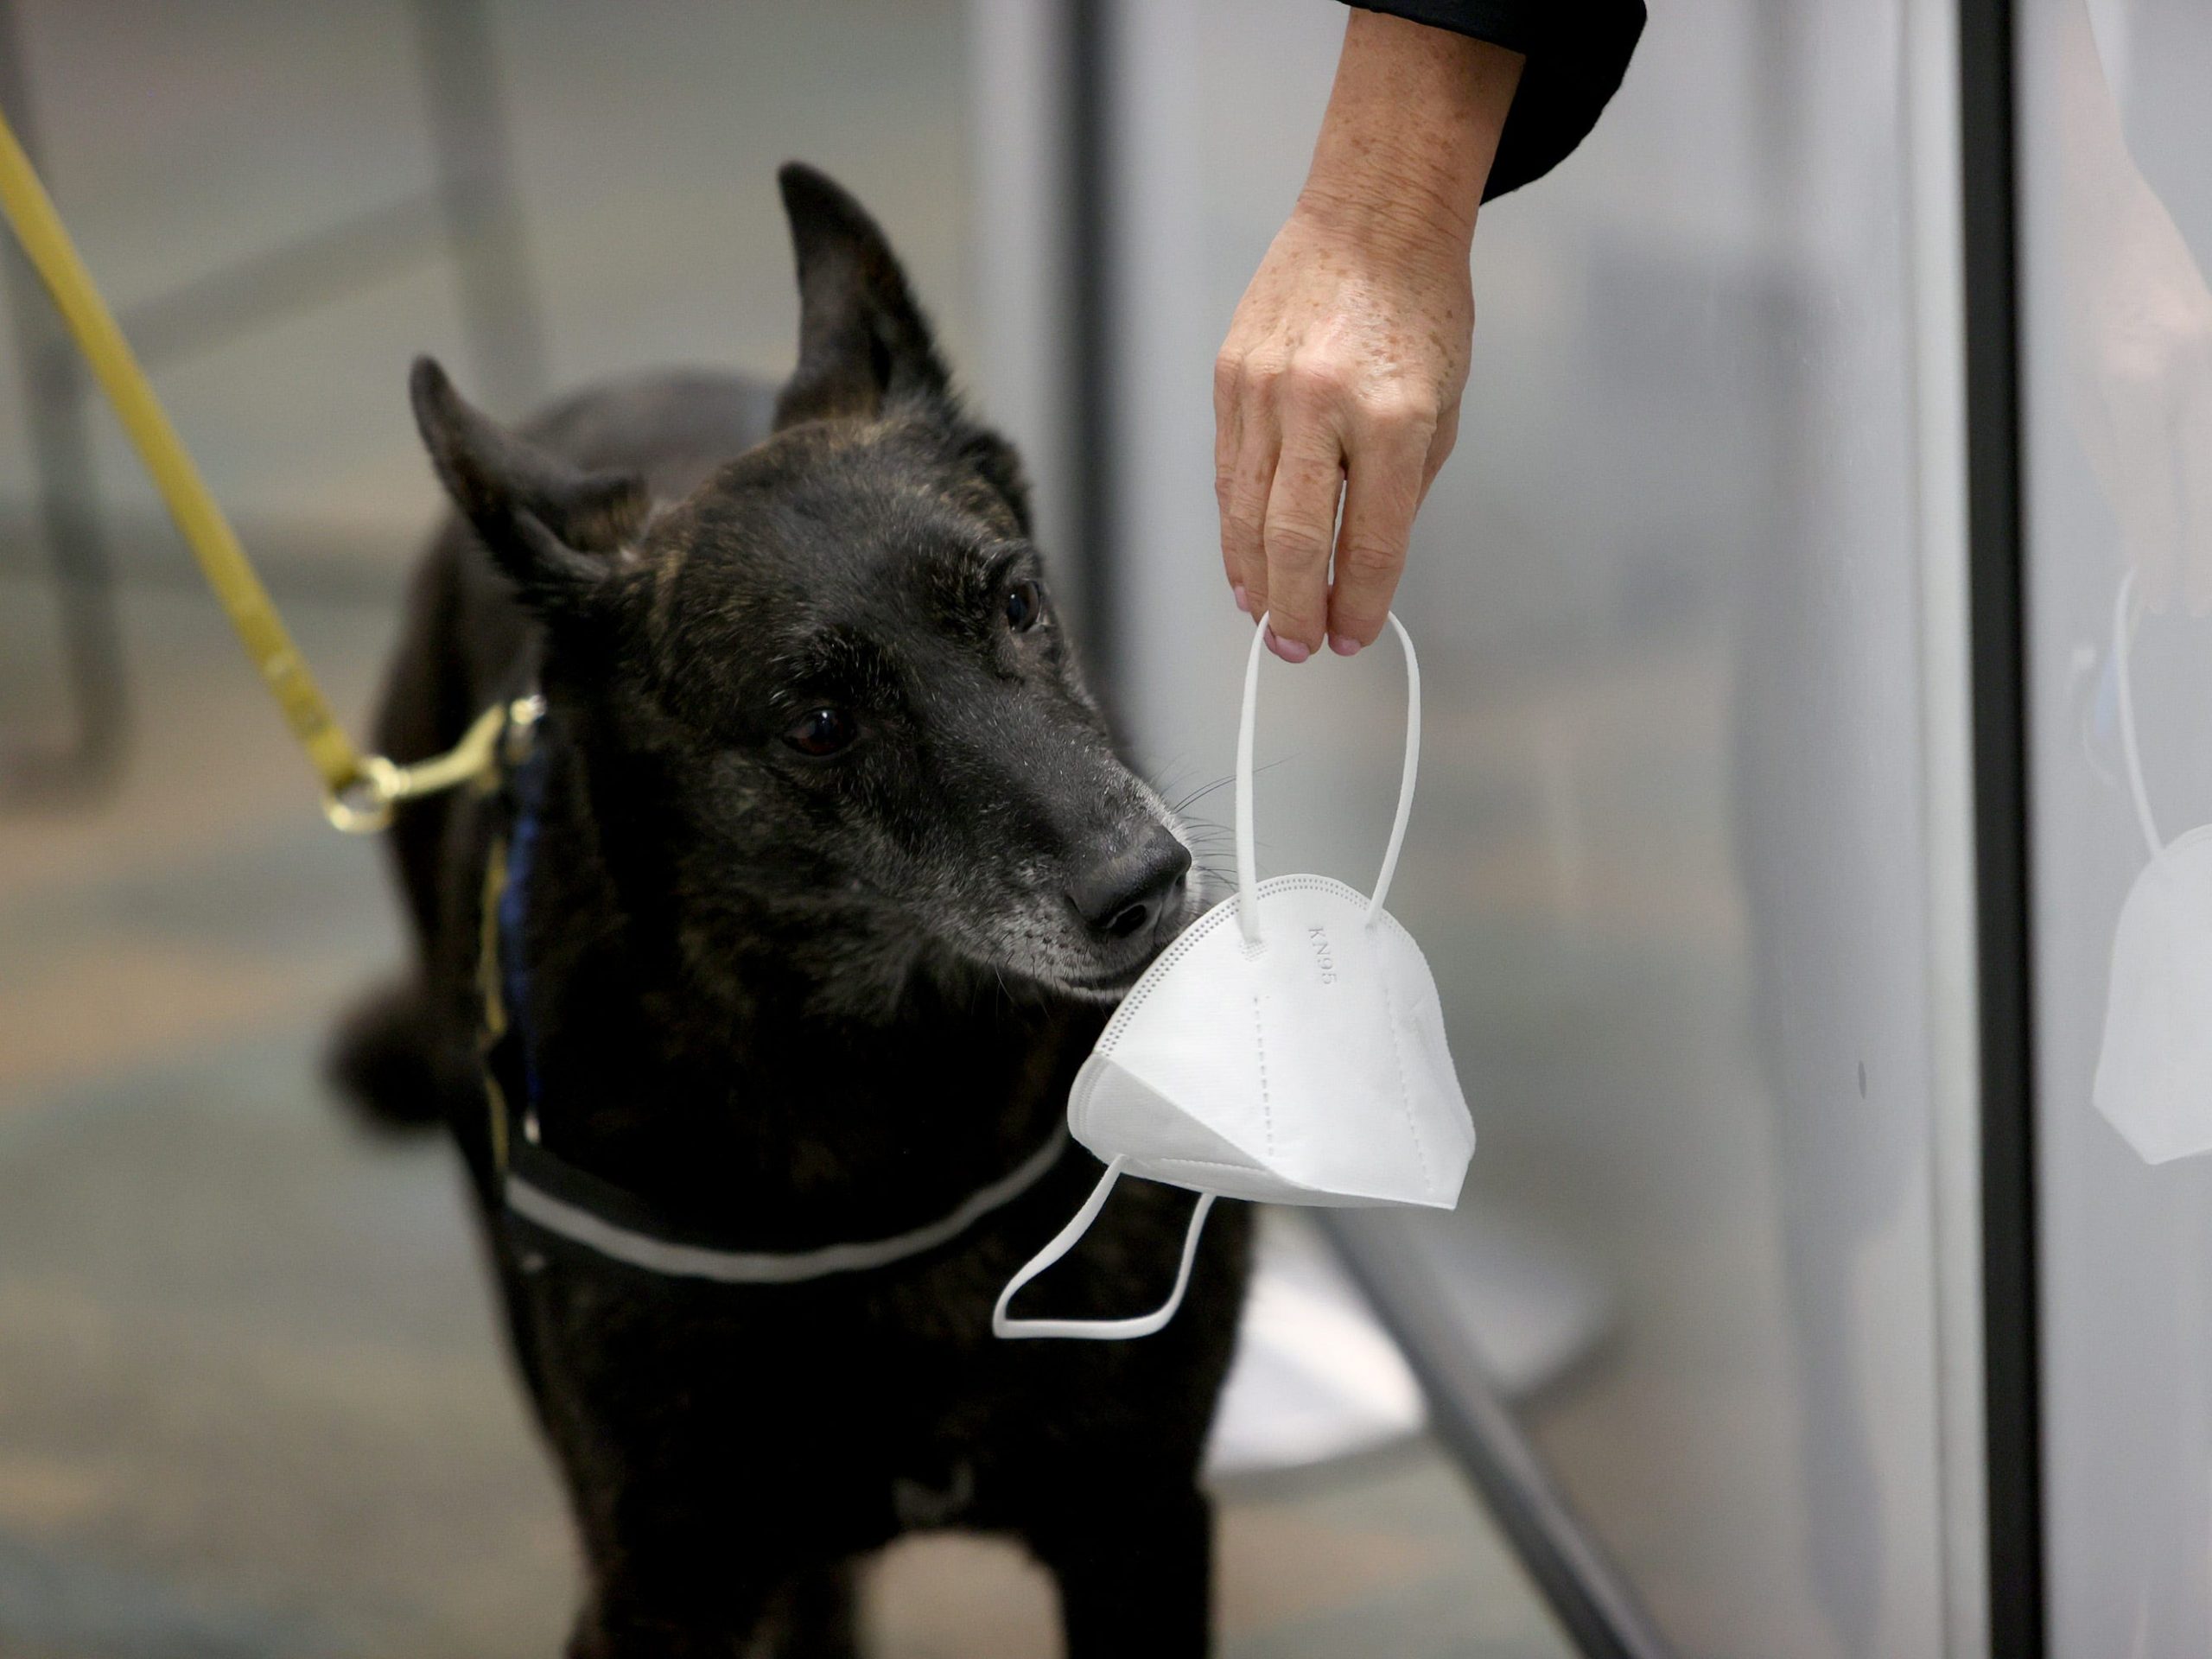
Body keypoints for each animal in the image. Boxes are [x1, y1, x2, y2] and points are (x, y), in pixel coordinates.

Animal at [334, 162, 1256, 1654]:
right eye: (820, 723)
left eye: (1017, 599)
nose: (1145, 886)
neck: (890, 1092)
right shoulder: (662, 1583)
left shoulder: (1141, 1526)